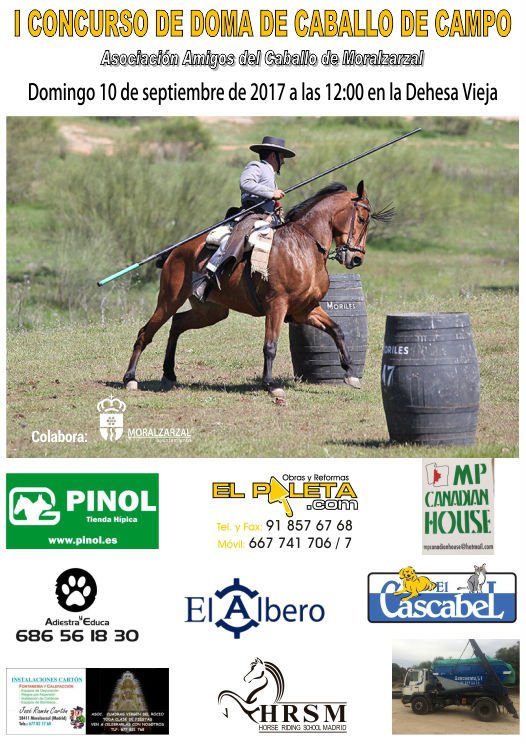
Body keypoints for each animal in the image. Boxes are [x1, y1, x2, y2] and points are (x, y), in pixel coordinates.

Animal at [123, 180, 379, 403]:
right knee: (146, 332)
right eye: (362, 219)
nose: (356, 259)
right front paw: (270, 385)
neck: (303, 245)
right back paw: (130, 378)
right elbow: (270, 346)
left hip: (211, 312)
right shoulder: (277, 306)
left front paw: (351, 374)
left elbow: (337, 331)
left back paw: (169, 374)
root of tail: (175, 251)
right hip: (169, 300)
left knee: (177, 323)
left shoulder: (305, 310)